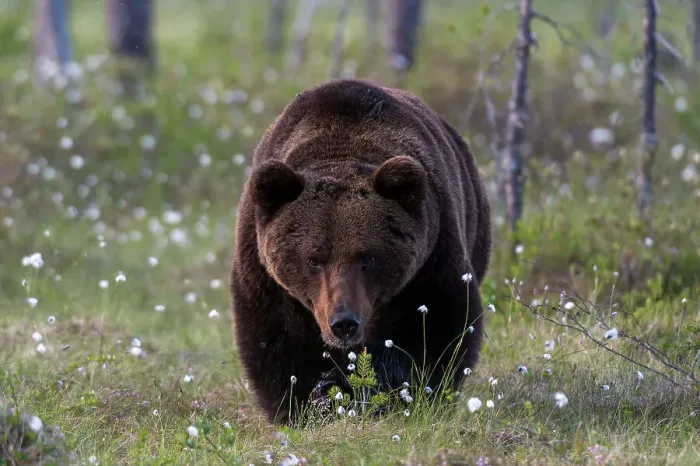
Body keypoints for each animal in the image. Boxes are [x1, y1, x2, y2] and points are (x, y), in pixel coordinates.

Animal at [230, 78, 491, 424]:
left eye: (367, 257)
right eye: (313, 260)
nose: (344, 322)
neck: (341, 148)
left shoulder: (429, 261)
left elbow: (434, 328)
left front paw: (393, 392)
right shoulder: (266, 275)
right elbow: (279, 341)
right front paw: (309, 404)